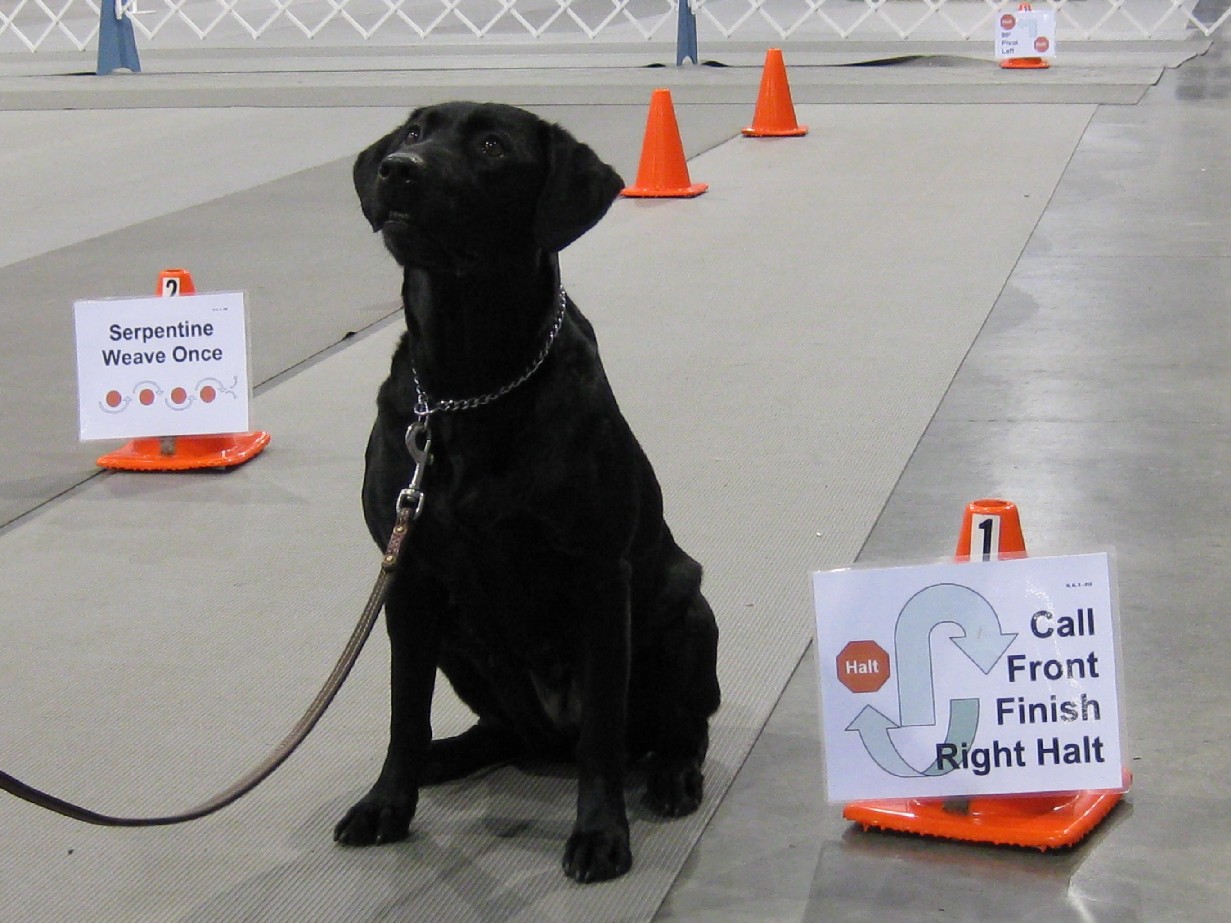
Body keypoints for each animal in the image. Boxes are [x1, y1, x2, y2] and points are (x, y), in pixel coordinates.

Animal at [337, 97, 718, 886]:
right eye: (413, 134)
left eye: (490, 146)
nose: (397, 169)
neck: (467, 382)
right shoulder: (408, 582)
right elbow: (403, 710)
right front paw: (387, 802)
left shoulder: (600, 577)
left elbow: (602, 731)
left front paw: (601, 834)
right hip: (459, 643)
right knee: (501, 729)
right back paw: (446, 754)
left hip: (686, 610)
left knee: (679, 726)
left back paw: (672, 775)